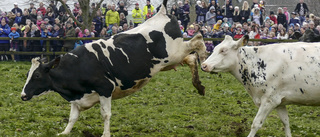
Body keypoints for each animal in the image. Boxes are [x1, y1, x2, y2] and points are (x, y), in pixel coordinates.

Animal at [20, 0, 205, 136]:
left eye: (37, 76)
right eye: (28, 74)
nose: (23, 95)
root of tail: (162, 13)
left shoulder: (105, 88)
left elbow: (105, 114)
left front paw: (106, 134)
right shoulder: (78, 98)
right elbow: (72, 117)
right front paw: (64, 132)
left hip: (175, 52)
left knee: (198, 40)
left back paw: (204, 60)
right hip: (169, 61)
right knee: (191, 58)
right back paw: (199, 85)